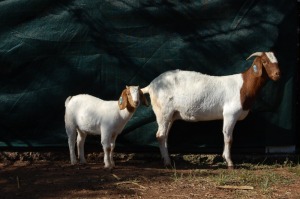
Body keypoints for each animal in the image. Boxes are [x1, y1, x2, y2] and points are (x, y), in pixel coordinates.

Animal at [142, 51, 280, 168]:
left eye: (277, 61)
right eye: (265, 61)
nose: (278, 74)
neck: (244, 85)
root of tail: (151, 85)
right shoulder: (230, 114)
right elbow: (228, 138)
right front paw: (229, 162)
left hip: (171, 115)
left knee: (165, 136)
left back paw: (167, 159)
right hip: (163, 111)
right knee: (160, 135)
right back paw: (167, 163)